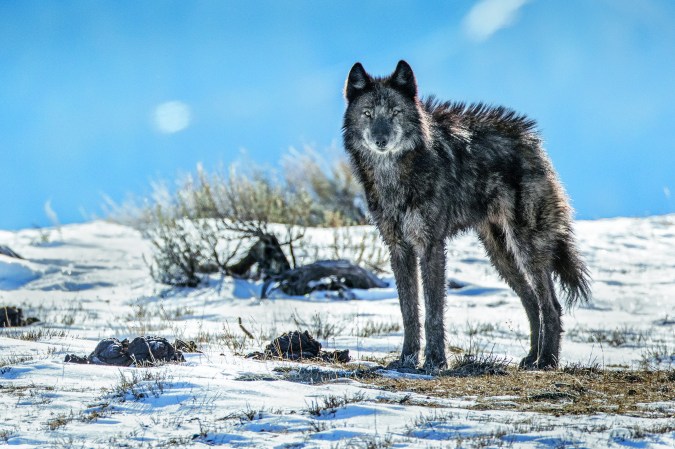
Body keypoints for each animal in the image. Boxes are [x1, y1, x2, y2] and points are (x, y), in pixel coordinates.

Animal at [344, 59, 592, 370]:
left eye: (395, 112)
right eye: (367, 113)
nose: (381, 140)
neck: (396, 176)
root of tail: (532, 140)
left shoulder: (431, 245)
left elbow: (433, 311)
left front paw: (435, 360)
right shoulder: (398, 248)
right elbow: (409, 311)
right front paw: (407, 359)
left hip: (527, 249)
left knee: (551, 306)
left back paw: (547, 360)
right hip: (500, 256)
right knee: (532, 302)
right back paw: (530, 357)